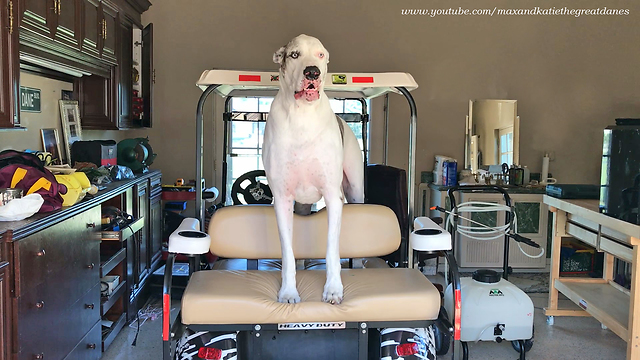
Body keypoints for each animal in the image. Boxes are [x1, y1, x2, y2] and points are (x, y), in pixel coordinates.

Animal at [264, 34, 364, 304]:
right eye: (294, 54)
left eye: (320, 55)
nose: (312, 72)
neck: (302, 116)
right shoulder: (282, 199)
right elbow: (288, 253)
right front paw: (288, 291)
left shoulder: (333, 196)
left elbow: (331, 249)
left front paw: (333, 289)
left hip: (356, 190)